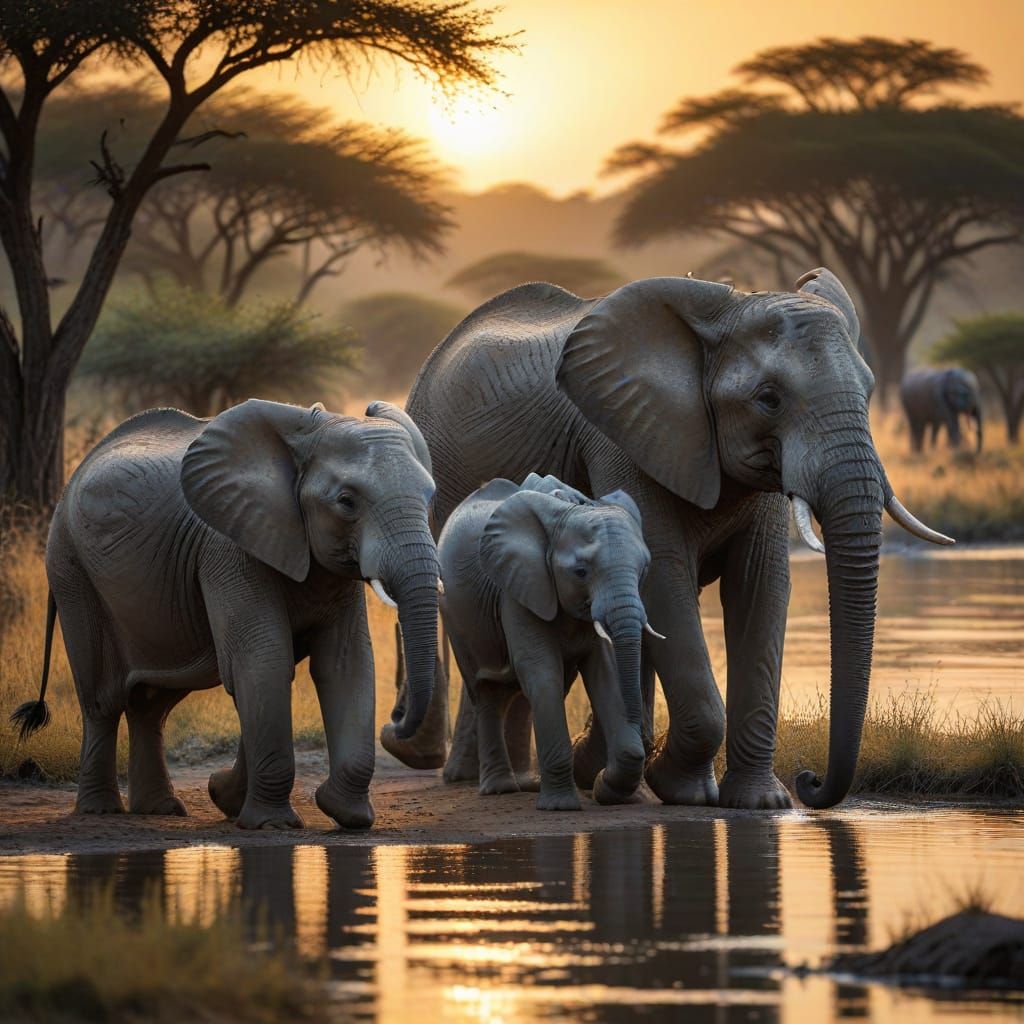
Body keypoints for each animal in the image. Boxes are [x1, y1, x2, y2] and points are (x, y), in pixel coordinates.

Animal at [11, 398, 440, 830]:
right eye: (347, 501)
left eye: (430, 497)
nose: (395, 722)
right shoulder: (227, 547)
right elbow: (264, 661)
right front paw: (271, 823)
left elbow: (345, 664)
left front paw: (343, 815)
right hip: (71, 570)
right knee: (103, 699)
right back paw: (101, 810)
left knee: (152, 702)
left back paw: (160, 809)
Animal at [437, 472, 655, 810]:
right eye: (580, 572)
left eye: (644, 569)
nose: (600, 782)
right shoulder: (517, 587)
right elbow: (541, 670)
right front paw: (561, 806)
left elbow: (603, 675)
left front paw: (608, 789)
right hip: (454, 615)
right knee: (486, 691)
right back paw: (501, 789)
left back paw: (528, 785)